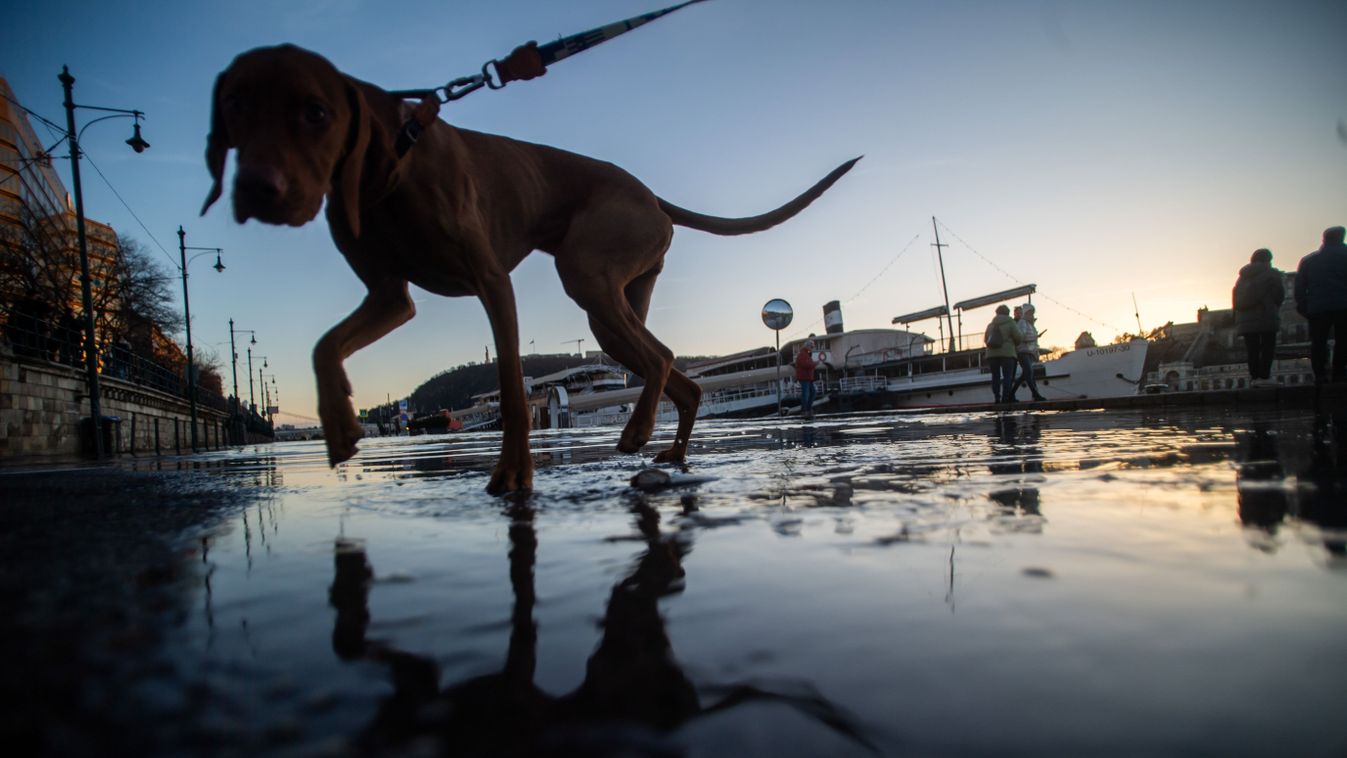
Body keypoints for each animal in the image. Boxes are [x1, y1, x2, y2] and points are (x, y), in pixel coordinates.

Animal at [204, 44, 856, 495]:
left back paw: (637, 434)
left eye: (315, 112)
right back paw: (669, 453)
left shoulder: (493, 283)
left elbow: (515, 395)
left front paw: (514, 474)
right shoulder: (392, 297)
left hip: (587, 279)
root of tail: (652, 196)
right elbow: (324, 346)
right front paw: (339, 425)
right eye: (234, 106)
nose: (258, 189)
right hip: (608, 313)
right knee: (681, 377)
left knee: (665, 357)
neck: (394, 160)